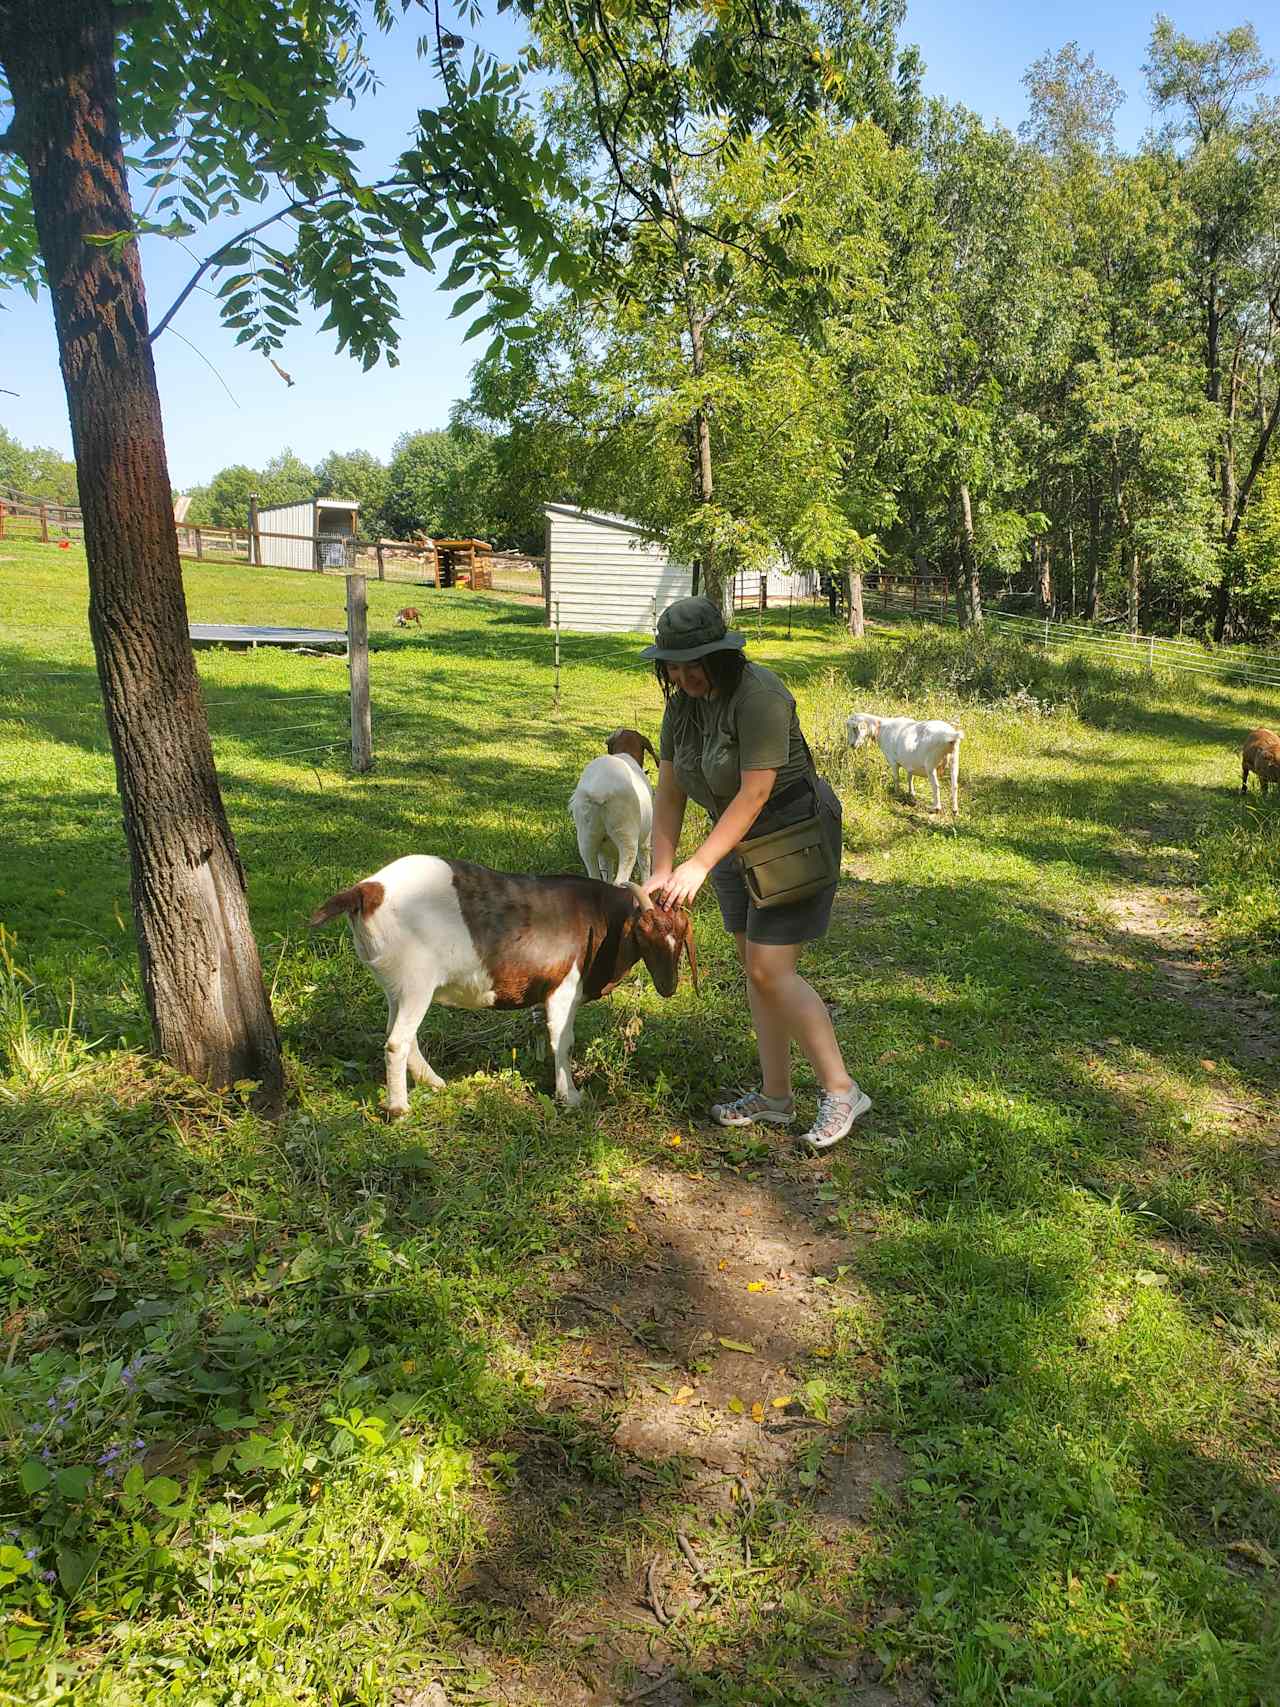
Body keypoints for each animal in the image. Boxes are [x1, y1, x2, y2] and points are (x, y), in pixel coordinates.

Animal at [310, 853, 696, 1119]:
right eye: (644, 934)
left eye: (680, 936)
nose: (668, 987)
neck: (599, 916)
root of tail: (368, 890)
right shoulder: (564, 988)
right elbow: (563, 1039)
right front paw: (570, 1096)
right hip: (416, 983)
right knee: (396, 1042)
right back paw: (400, 1109)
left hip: (396, 985)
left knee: (400, 1034)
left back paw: (434, 1083)